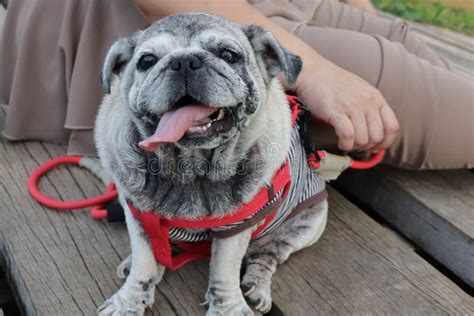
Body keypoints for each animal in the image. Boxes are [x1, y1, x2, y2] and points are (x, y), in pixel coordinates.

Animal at [95, 12, 328, 316]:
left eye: (229, 55)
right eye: (146, 61)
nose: (183, 61)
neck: (190, 168)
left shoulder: (236, 227)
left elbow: (223, 272)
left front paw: (228, 308)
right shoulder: (139, 215)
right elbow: (144, 264)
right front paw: (128, 302)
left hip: (310, 221)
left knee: (268, 254)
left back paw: (256, 285)